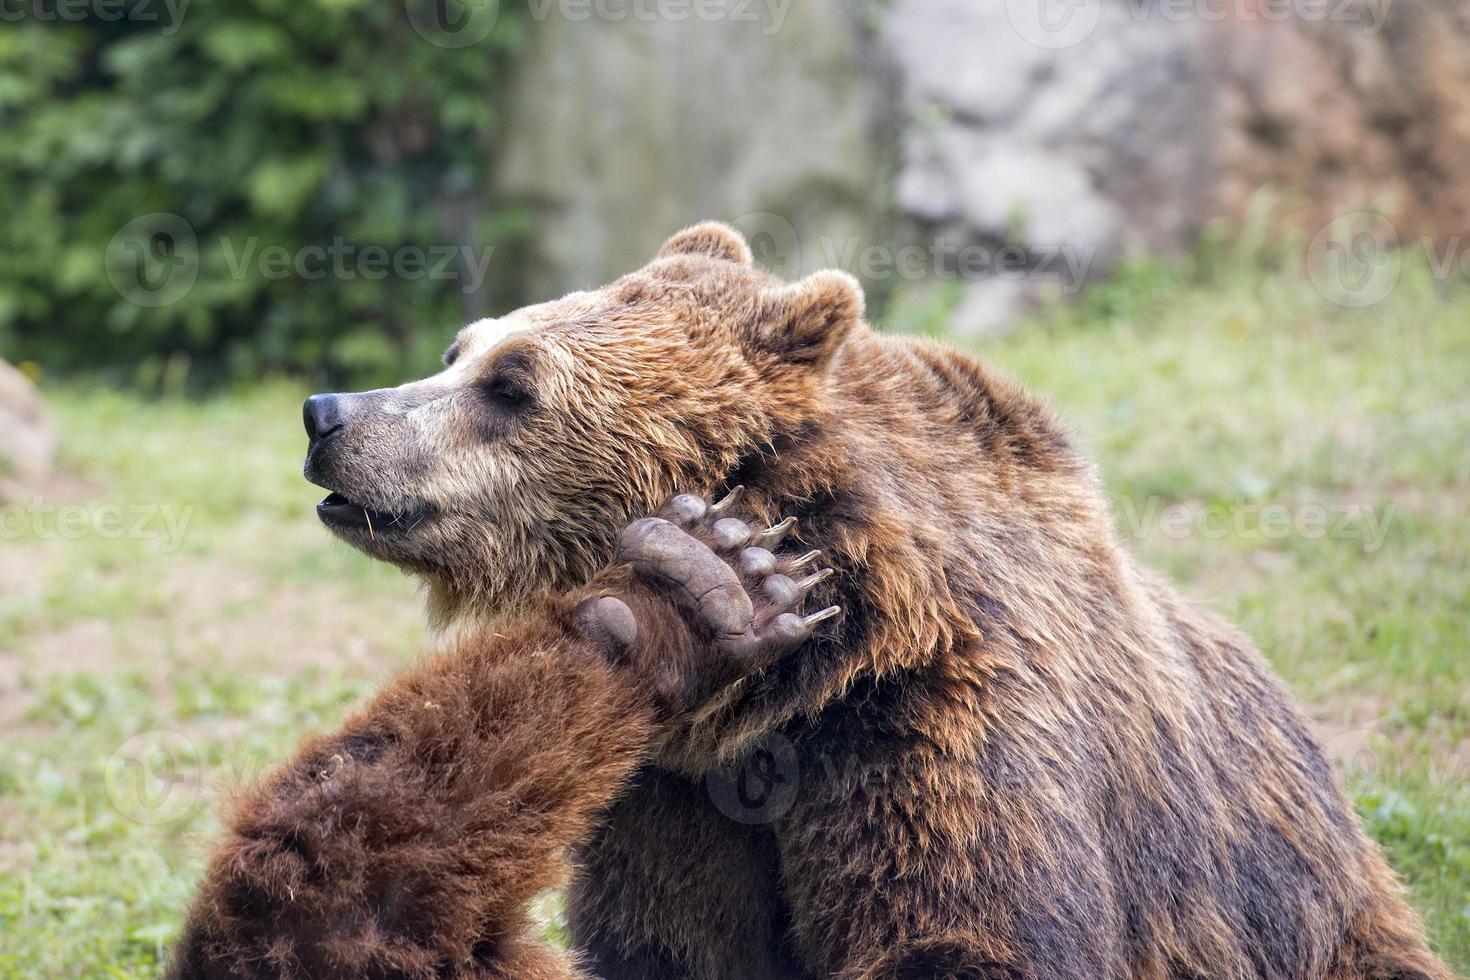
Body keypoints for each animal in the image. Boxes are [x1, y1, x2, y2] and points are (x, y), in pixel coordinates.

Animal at [169, 224, 1446, 980]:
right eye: (458, 346)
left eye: (513, 382)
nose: (330, 413)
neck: (787, 701)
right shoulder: (671, 808)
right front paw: (682, 594)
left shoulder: (940, 737)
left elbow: (967, 930)